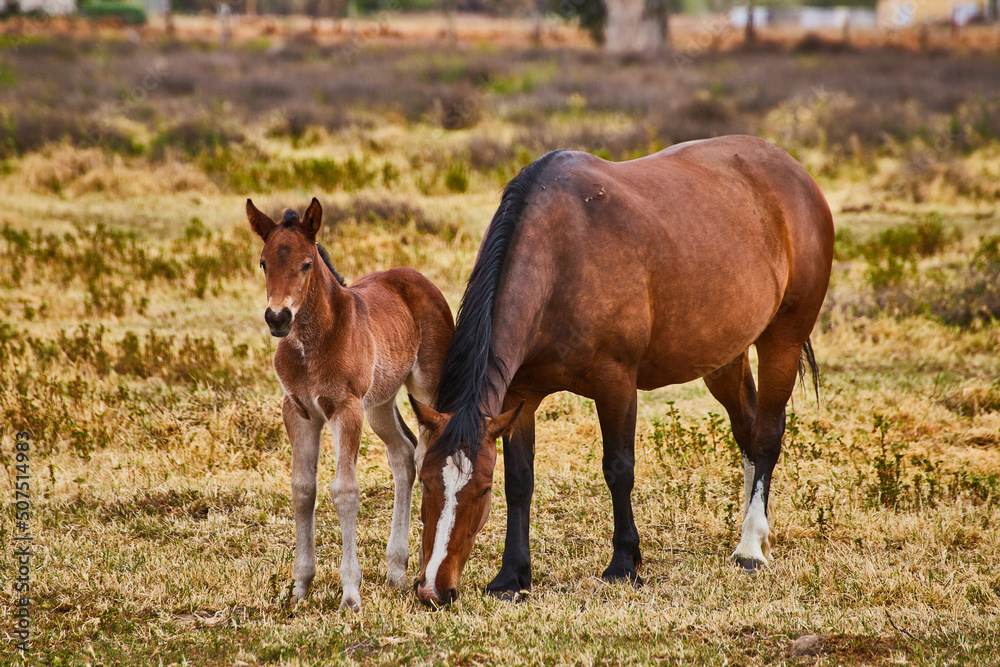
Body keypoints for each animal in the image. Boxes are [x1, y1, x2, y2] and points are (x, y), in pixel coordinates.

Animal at [246, 197, 454, 611]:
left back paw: (423, 572)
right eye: (263, 262)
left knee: (427, 454)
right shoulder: (298, 410)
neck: (311, 344)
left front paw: (351, 594)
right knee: (403, 455)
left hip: (424, 389)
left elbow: (344, 491)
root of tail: (419, 279)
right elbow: (302, 490)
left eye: (306, 264)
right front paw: (300, 587)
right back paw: (396, 569)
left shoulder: (346, 408)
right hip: (380, 403)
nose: (277, 317)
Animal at [408, 136, 834, 606]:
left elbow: (618, 469)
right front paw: (511, 576)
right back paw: (753, 531)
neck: (562, 253)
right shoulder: (520, 398)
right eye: (424, 481)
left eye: (481, 490)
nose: (433, 589)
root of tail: (794, 172)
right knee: (748, 432)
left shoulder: (616, 383)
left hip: (782, 339)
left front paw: (624, 563)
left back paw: (751, 546)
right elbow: (520, 481)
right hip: (725, 357)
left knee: (767, 435)